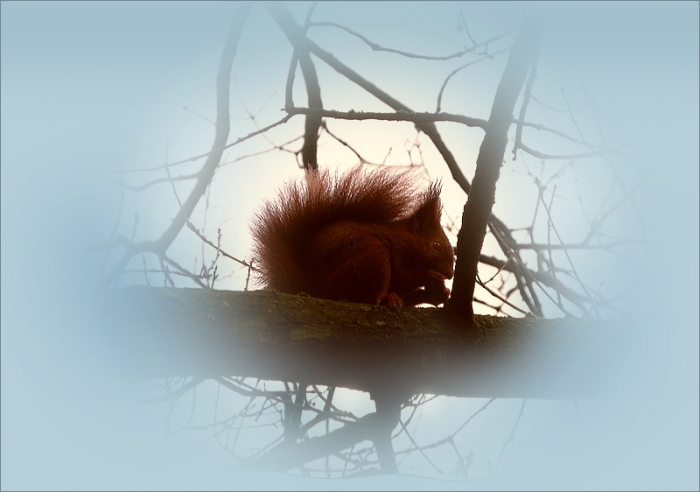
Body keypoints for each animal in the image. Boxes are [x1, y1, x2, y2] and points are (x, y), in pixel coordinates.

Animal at [250, 167, 455, 307]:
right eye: (436, 245)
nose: (450, 274)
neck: (407, 239)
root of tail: (314, 287)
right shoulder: (398, 250)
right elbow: (404, 276)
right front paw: (432, 276)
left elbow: (404, 287)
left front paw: (440, 292)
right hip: (370, 256)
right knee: (364, 295)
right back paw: (384, 298)